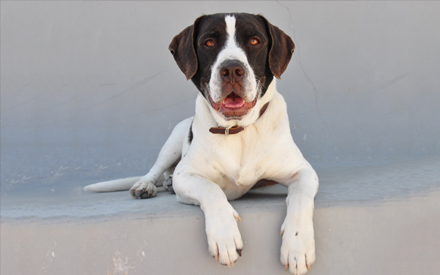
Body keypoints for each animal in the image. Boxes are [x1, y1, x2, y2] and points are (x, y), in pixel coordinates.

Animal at [85, 12, 320, 275]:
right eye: (209, 42)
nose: (232, 69)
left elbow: (301, 199)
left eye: (255, 41)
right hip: (174, 138)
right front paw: (225, 236)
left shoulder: (303, 172)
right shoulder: (186, 175)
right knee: (157, 169)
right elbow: (211, 188)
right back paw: (146, 185)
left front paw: (297, 246)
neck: (236, 130)